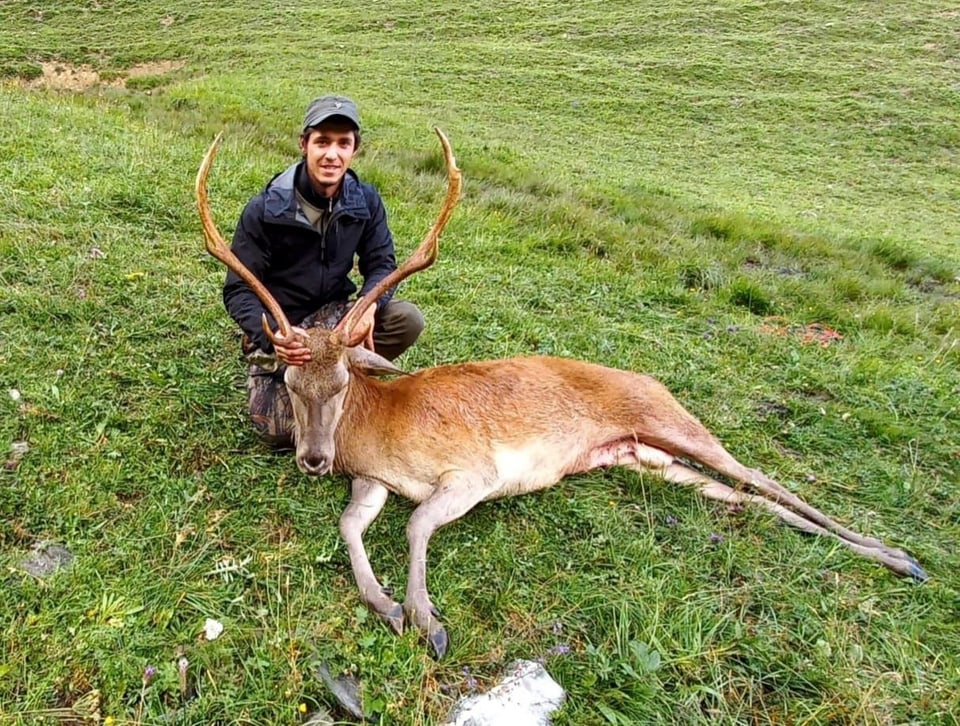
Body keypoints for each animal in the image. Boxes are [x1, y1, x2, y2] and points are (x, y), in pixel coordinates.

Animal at [197, 129, 928, 660]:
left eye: (344, 381)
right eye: (290, 383)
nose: (314, 459)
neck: (381, 433)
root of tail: (650, 382)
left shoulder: (474, 470)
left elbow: (416, 524)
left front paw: (427, 620)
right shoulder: (373, 478)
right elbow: (351, 524)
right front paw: (386, 605)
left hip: (672, 421)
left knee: (758, 473)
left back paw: (900, 557)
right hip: (646, 459)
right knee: (740, 494)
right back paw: (890, 558)